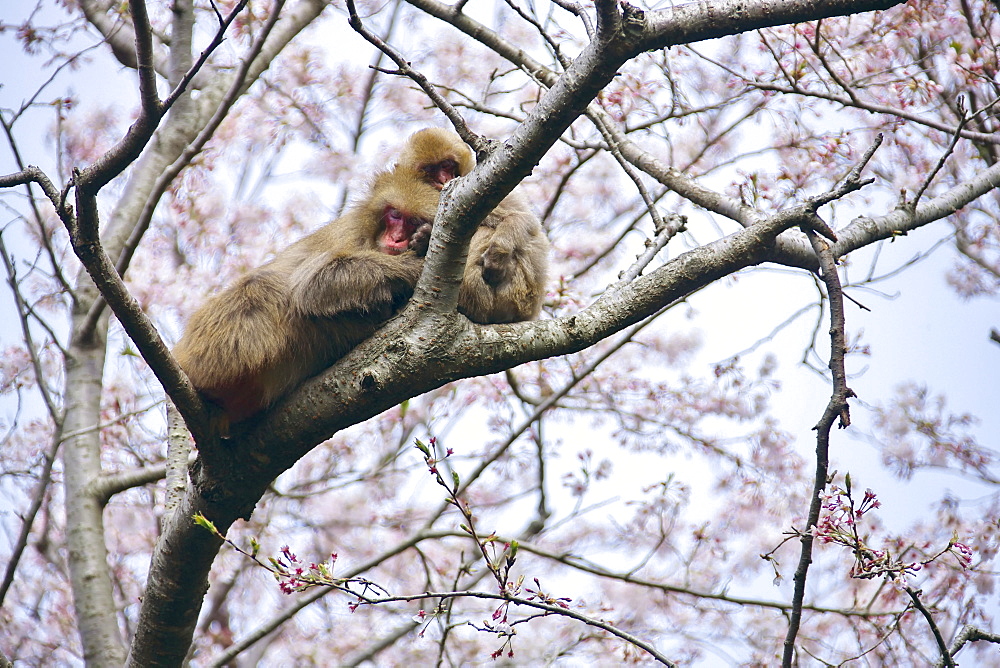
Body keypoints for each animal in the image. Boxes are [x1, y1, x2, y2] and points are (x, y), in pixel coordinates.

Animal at [394, 129, 552, 326]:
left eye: (446, 165)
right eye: (430, 170)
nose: (443, 180)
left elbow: (524, 219)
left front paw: (497, 255)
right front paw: (423, 237)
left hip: (519, 293)